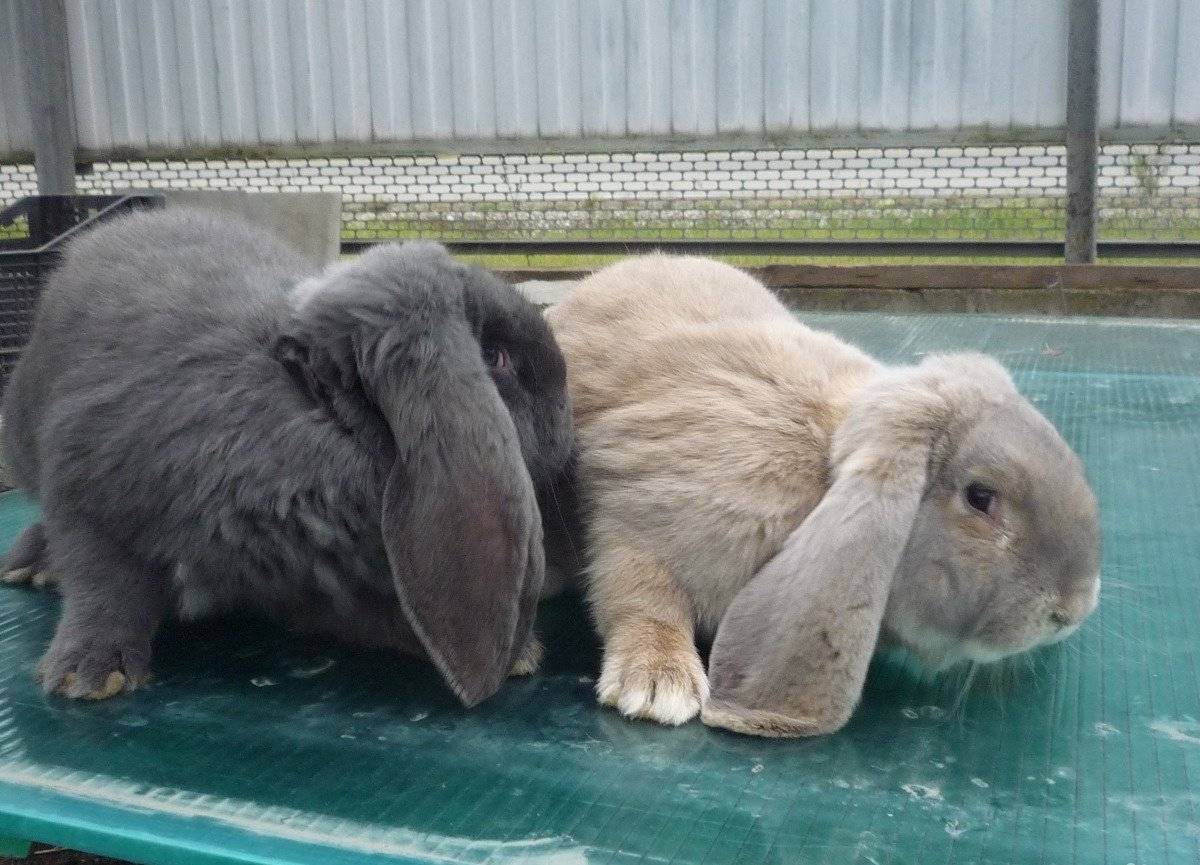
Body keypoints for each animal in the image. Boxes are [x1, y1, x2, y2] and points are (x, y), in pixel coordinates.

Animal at [0, 207, 573, 706]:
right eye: (496, 358)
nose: (567, 434)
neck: (316, 408)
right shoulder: (87, 489)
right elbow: (105, 585)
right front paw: (90, 676)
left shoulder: (321, 583)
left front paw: (519, 654)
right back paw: (30, 566)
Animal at [544, 254, 1101, 737]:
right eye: (980, 497)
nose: (1072, 611)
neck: (820, 472)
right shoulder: (640, 516)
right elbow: (639, 595)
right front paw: (658, 686)